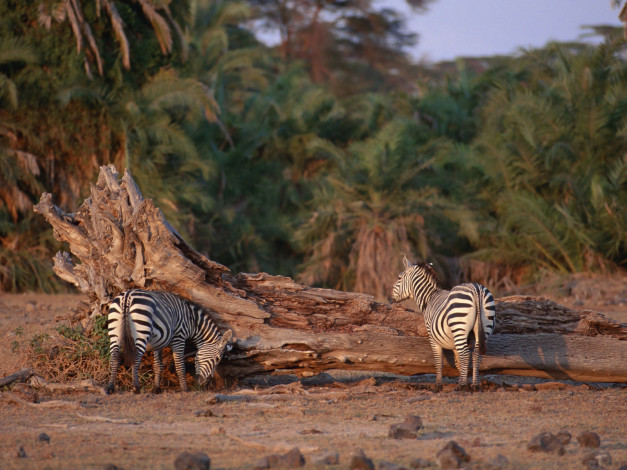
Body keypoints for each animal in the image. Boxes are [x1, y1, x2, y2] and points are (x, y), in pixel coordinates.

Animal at [105, 290, 233, 392]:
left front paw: (156, 388)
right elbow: (180, 365)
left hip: (114, 330)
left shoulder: (158, 342)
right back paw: (136, 387)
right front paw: (185, 389)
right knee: (136, 357)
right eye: (217, 359)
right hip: (141, 330)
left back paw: (110, 387)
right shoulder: (179, 337)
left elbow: (158, 365)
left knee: (114, 357)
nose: (206, 384)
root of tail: (127, 296)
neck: (192, 321)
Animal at [388, 255, 496, 392]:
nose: (390, 298)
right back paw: (475, 385)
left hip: (459, 325)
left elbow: (438, 360)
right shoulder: (456, 342)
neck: (429, 298)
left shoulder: (432, 337)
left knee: (466, 354)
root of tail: (476, 289)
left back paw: (460, 386)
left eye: (399, 278)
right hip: (484, 327)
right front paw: (465, 381)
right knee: (476, 354)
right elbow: (458, 361)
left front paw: (439, 385)